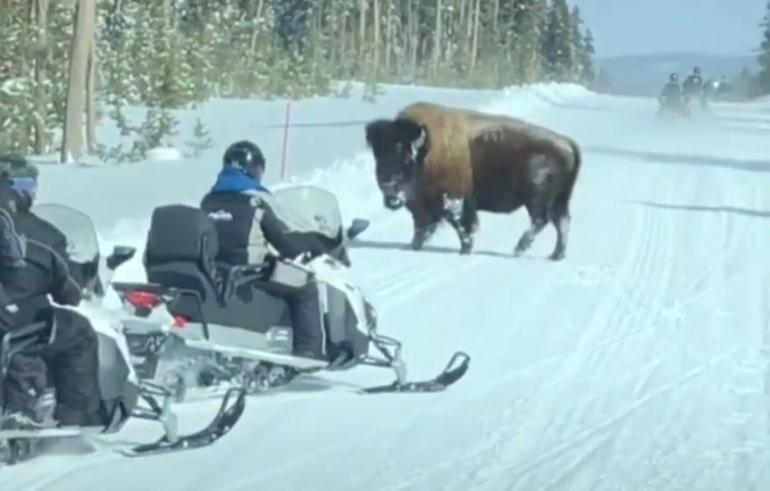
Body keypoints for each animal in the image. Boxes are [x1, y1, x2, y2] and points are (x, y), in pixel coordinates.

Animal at [364, 101, 580, 260]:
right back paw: (556, 255)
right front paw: (414, 246)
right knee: (561, 222)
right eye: (377, 155)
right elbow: (421, 226)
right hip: (560, 200)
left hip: (536, 198)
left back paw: (520, 248)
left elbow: (461, 225)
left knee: (541, 220)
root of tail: (567, 143)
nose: (387, 184)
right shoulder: (420, 205)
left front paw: (464, 251)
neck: (426, 151)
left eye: (405, 155)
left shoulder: (454, 200)